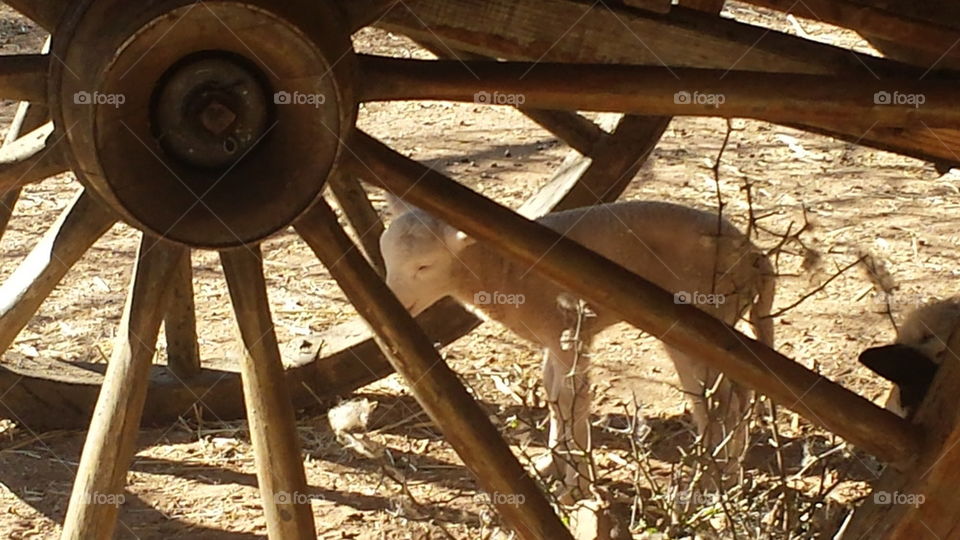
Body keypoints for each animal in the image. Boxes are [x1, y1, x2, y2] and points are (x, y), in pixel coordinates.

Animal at [380, 199, 776, 494]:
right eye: (385, 258)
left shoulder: (570, 333)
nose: (391, 298)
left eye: (424, 266)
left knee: (722, 402)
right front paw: (551, 462)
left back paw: (712, 479)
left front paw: (578, 483)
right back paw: (725, 470)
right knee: (735, 395)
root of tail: (756, 258)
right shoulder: (552, 339)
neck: (503, 268)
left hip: (703, 318)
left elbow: (574, 399)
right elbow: (554, 393)